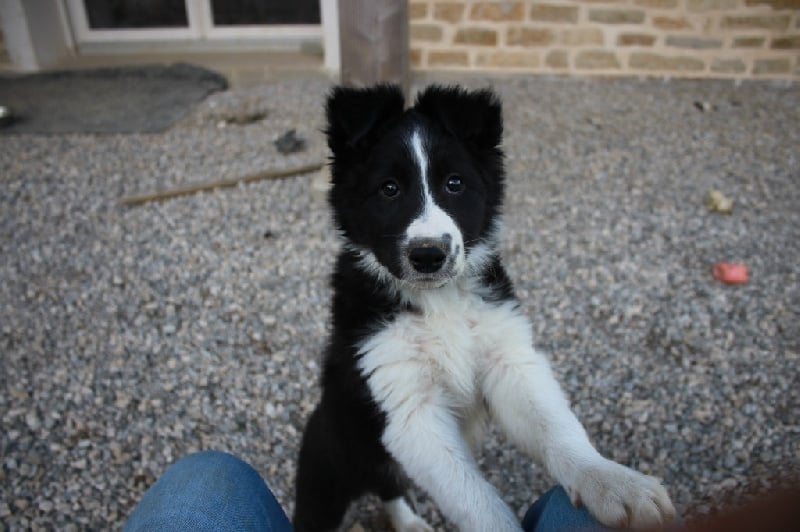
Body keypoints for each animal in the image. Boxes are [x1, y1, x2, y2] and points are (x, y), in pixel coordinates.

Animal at [293, 85, 676, 531]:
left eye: (455, 184)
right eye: (389, 189)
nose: (429, 255)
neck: (438, 302)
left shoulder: (508, 361)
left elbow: (557, 428)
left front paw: (612, 481)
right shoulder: (408, 404)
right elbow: (474, 497)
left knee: (390, 487)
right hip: (328, 471)